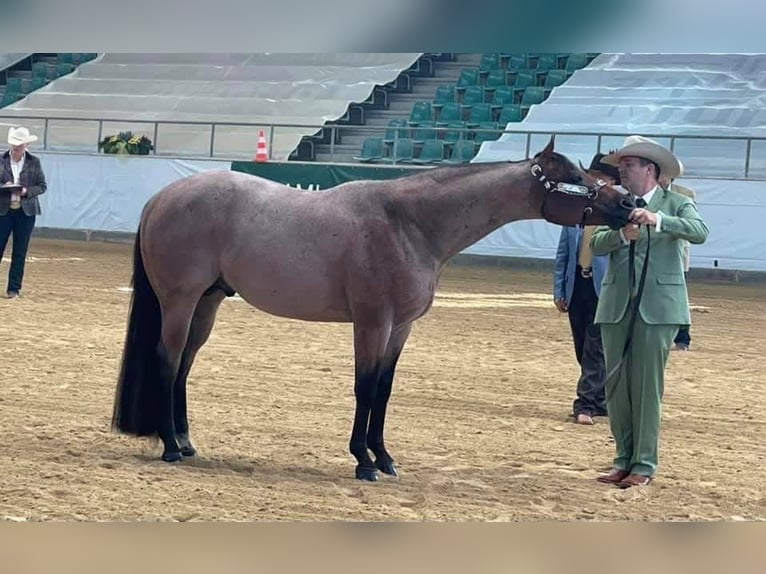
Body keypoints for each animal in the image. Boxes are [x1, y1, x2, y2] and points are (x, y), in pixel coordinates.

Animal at [111, 137, 635, 481]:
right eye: (575, 179)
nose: (628, 204)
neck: (409, 223)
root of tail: (162, 197)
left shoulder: (399, 328)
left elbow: (383, 389)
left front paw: (384, 458)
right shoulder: (372, 322)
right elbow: (364, 388)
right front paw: (363, 462)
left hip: (208, 303)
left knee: (184, 366)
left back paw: (185, 442)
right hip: (181, 301)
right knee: (167, 361)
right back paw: (169, 448)